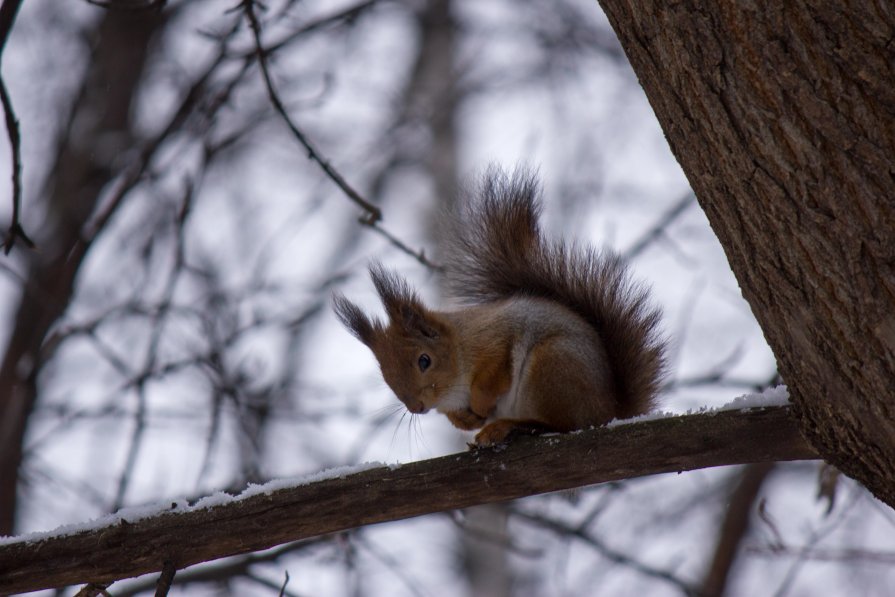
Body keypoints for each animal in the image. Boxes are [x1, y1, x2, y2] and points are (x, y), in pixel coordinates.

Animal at [334, 168, 664, 448]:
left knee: (564, 424)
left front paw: (480, 404)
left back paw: (509, 426)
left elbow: (493, 376)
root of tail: (611, 410)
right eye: (385, 374)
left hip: (553, 367)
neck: (459, 350)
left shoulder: (495, 341)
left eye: (424, 360)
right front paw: (465, 419)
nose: (417, 407)